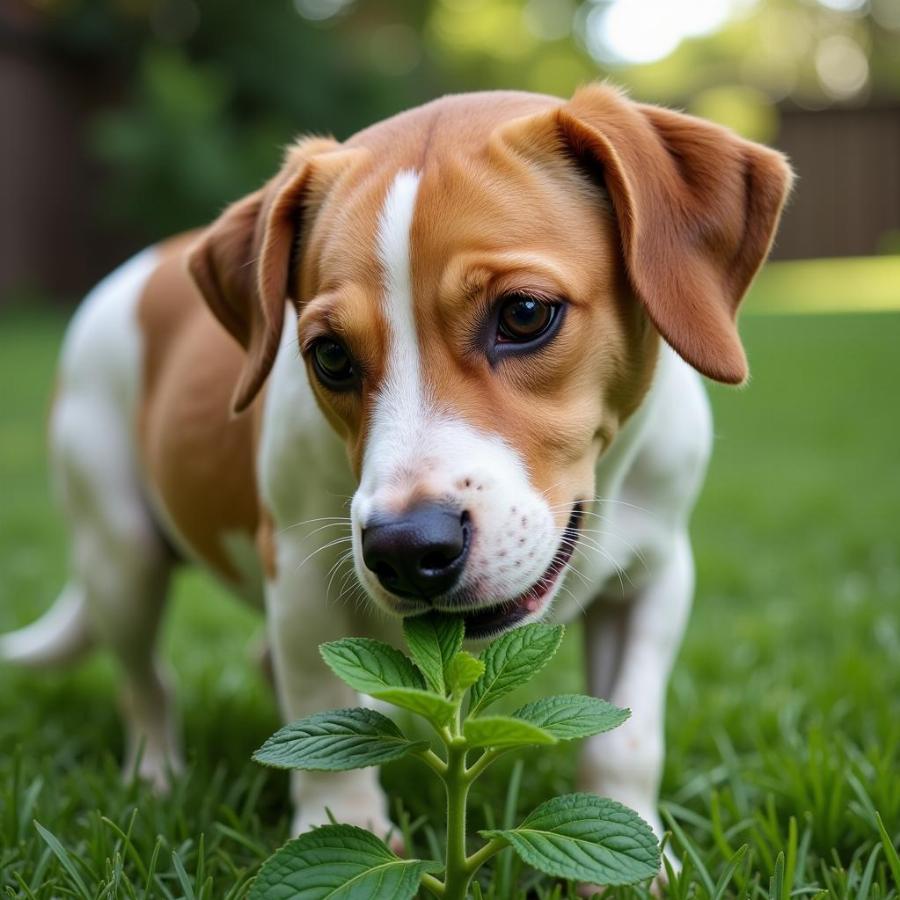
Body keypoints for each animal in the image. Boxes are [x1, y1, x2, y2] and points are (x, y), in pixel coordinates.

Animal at [0, 88, 788, 856]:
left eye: (525, 313)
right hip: (120, 552)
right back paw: (155, 774)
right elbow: (322, 716)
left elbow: (628, 734)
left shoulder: (656, 576)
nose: (408, 550)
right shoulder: (301, 576)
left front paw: (636, 850)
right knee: (145, 681)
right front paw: (343, 824)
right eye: (329, 356)